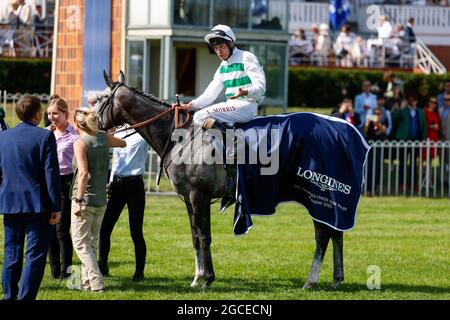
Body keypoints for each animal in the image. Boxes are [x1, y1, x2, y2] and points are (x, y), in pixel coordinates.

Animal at [96, 72, 344, 290]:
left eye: (101, 98)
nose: (94, 123)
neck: (180, 137)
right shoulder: (188, 199)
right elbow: (195, 236)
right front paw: (197, 278)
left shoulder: (200, 196)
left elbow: (205, 236)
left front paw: (208, 278)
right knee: (334, 232)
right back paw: (336, 278)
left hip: (316, 196)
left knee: (323, 234)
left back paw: (311, 280)